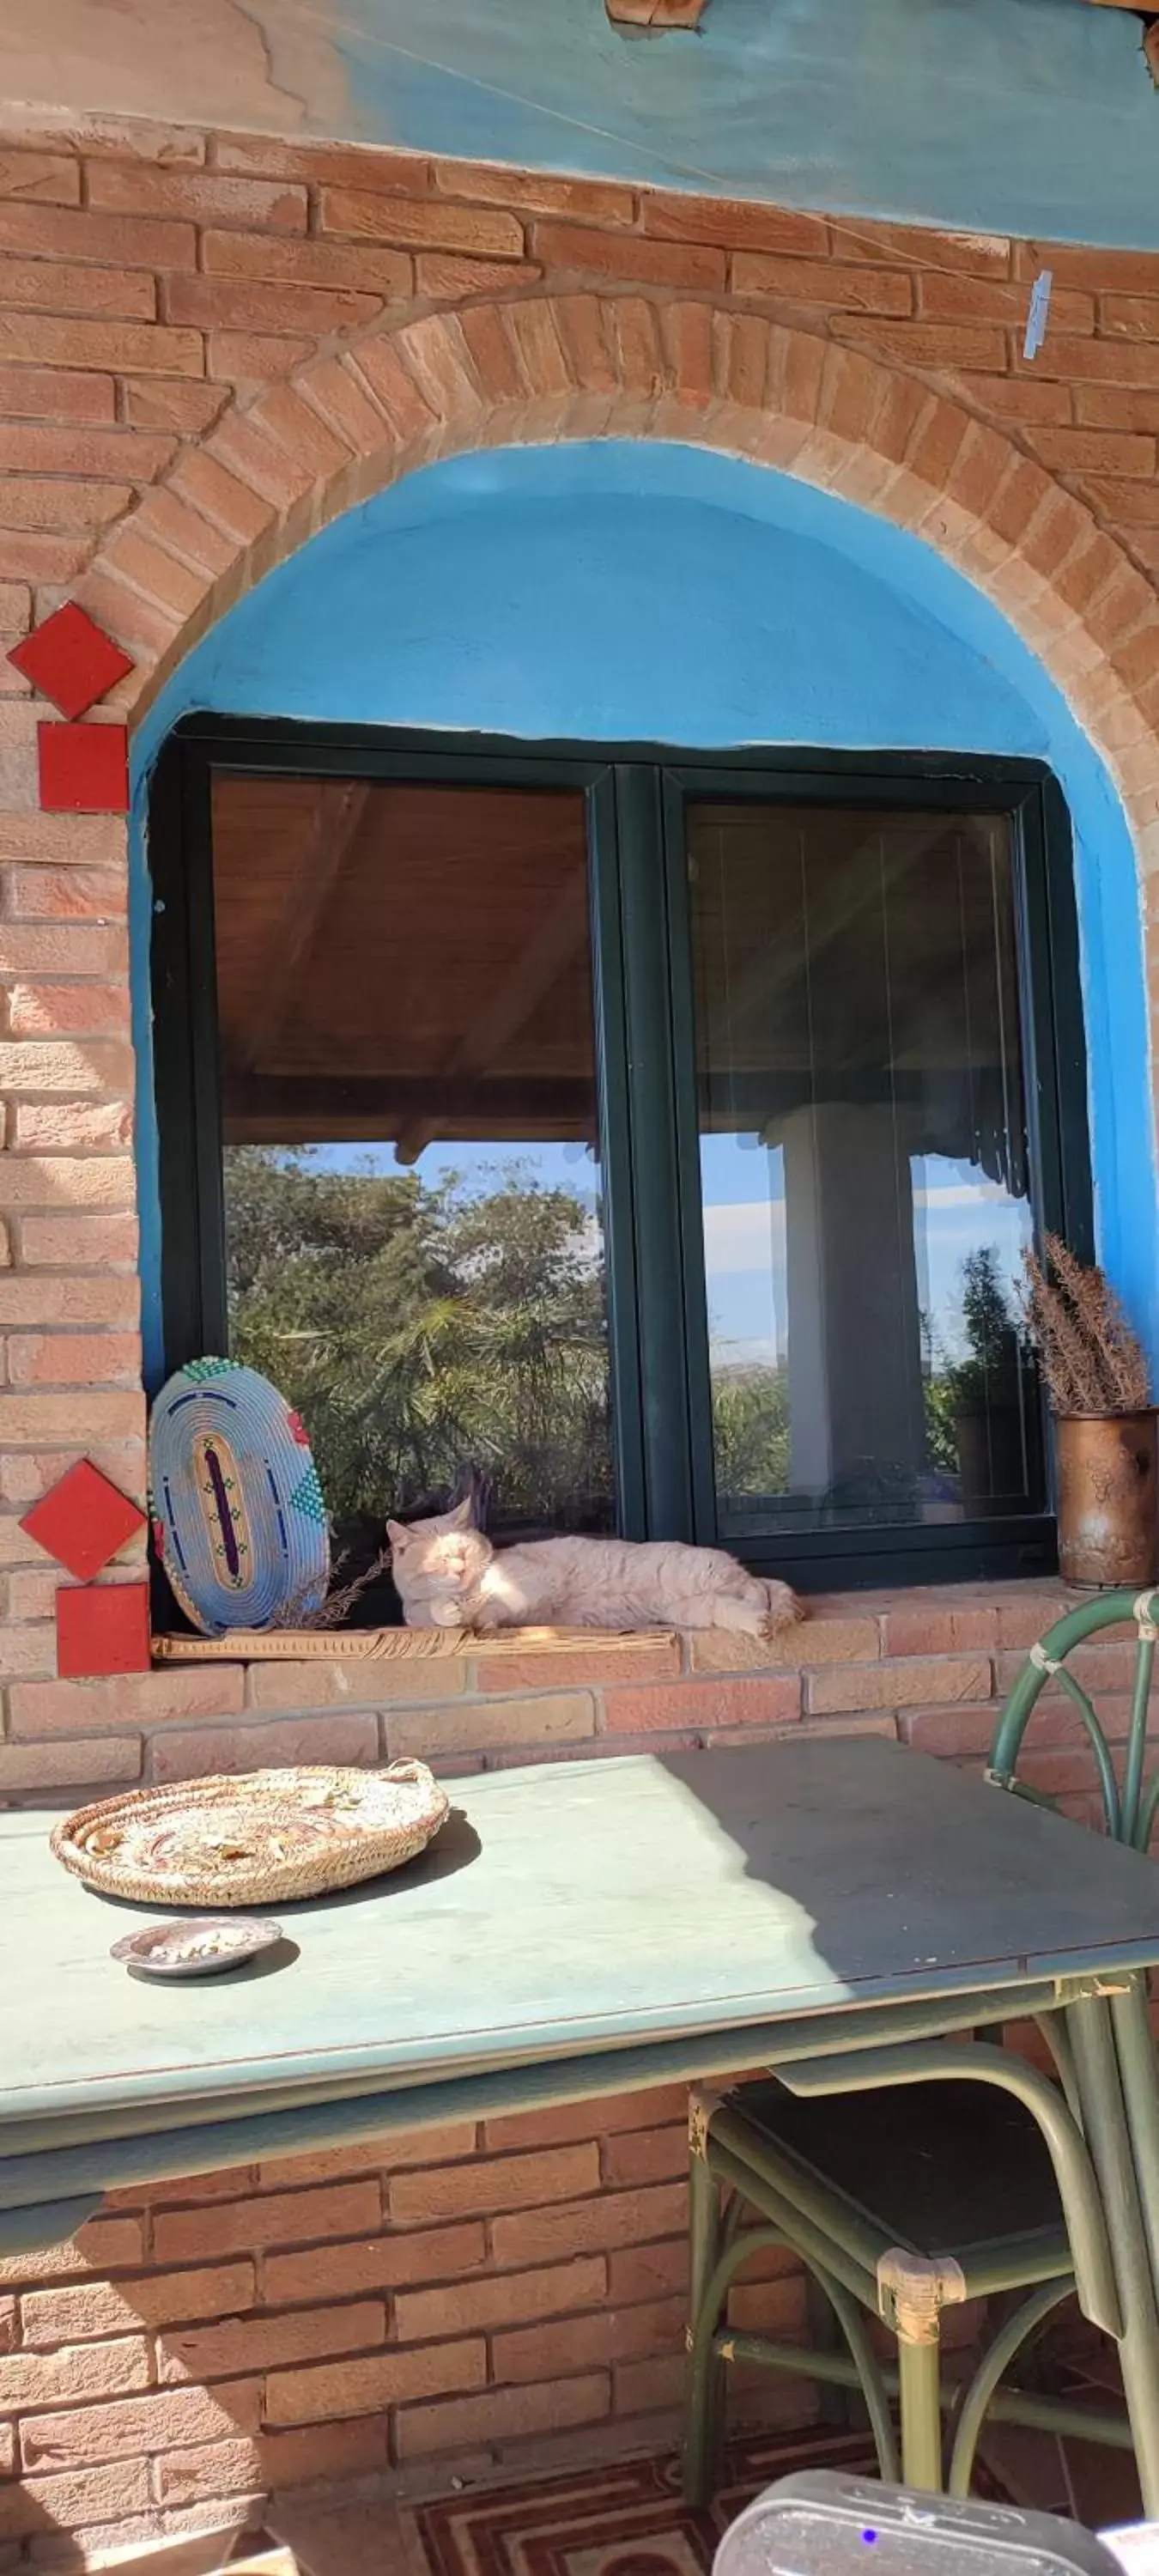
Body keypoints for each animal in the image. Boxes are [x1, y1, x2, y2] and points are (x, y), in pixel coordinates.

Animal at [384, 1504, 804, 1638]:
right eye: (439, 1561)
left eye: (464, 1553)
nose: (458, 1570)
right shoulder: (416, 1613)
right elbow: (429, 1613)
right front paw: (452, 1610)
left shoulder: (532, 1585)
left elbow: (496, 1601)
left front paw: (477, 1612)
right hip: (693, 1607)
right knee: (740, 1602)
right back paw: (758, 1623)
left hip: (699, 1574)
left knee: (758, 1585)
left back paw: (768, 1614)